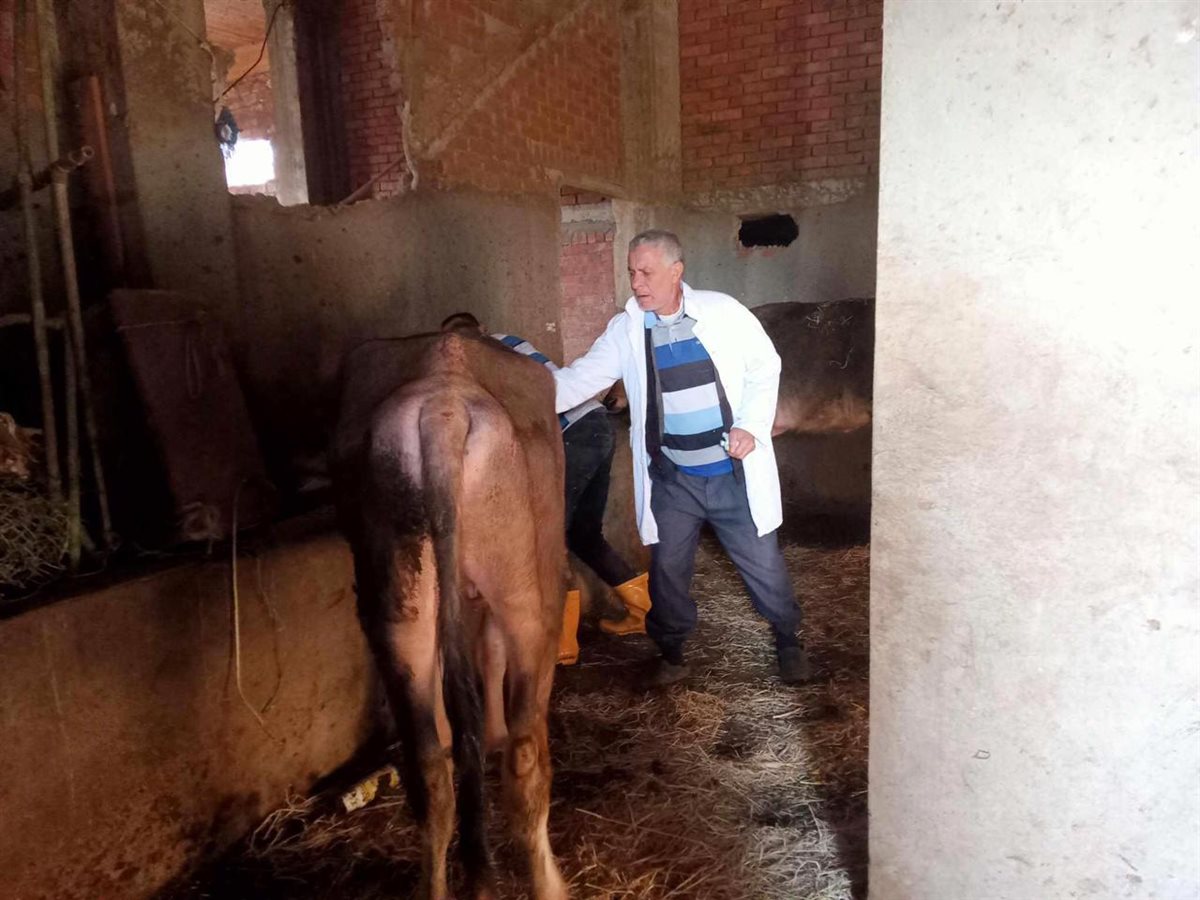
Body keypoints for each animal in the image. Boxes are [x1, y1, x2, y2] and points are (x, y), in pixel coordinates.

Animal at [329, 331, 569, 900]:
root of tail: (445, 405)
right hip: (526, 594)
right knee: (526, 756)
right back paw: (550, 883)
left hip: (401, 607)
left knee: (431, 771)